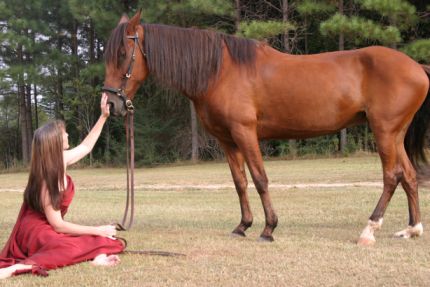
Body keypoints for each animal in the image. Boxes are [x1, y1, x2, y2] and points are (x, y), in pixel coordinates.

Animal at [103, 11, 430, 245]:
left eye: (123, 54)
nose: (111, 104)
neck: (220, 71)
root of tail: (417, 67)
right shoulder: (227, 140)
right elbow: (240, 182)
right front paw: (242, 226)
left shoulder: (245, 133)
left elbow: (260, 179)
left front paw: (269, 228)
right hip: (395, 134)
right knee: (409, 176)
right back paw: (412, 229)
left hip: (384, 132)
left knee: (392, 176)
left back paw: (369, 230)